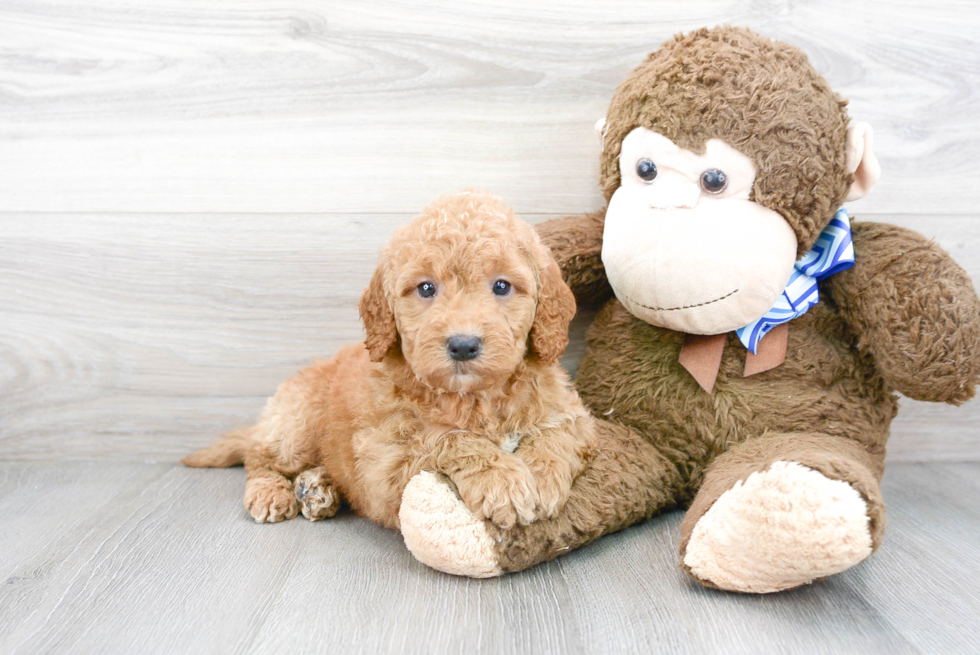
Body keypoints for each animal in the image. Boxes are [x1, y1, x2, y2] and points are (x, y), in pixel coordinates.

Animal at [184, 191, 596, 532]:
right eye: (426, 288)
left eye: (502, 286)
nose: (463, 345)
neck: (475, 399)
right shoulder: (385, 464)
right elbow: (445, 439)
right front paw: (502, 480)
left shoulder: (574, 414)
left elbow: (558, 434)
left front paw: (541, 477)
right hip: (295, 424)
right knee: (259, 456)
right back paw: (272, 491)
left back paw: (318, 490)